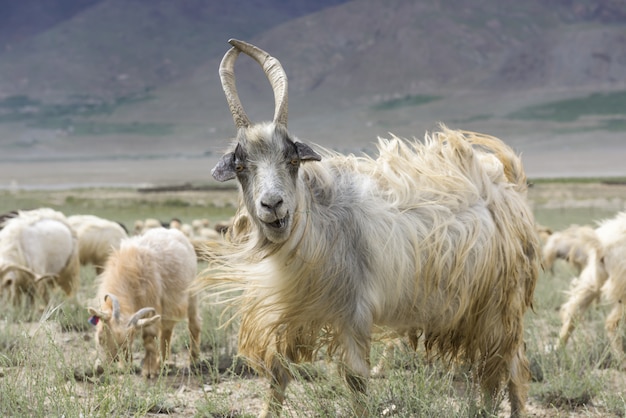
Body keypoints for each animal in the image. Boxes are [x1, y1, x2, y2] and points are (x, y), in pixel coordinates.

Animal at [86, 229, 200, 378]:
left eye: (124, 344)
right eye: (100, 337)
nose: (100, 369)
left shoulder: (152, 302)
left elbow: (149, 337)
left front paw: (149, 371)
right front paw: (125, 367)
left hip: (191, 294)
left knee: (194, 324)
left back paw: (193, 360)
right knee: (166, 331)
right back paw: (163, 363)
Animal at [199, 39, 536, 418]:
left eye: (292, 159)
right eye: (241, 166)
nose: (273, 205)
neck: (319, 223)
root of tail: (510, 184)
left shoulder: (355, 312)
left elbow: (356, 382)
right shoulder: (292, 312)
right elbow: (277, 376)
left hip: (503, 302)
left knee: (512, 369)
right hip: (477, 309)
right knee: (490, 373)